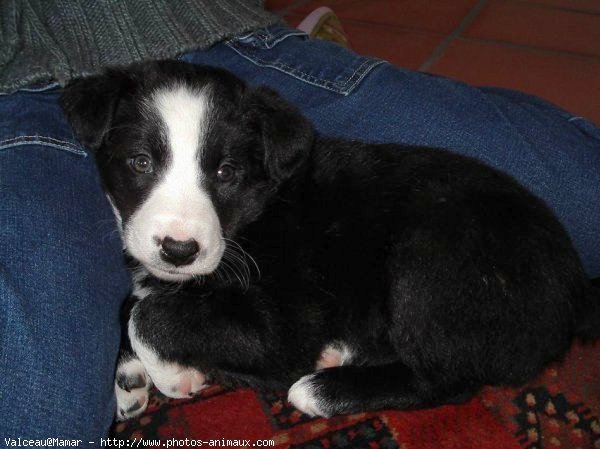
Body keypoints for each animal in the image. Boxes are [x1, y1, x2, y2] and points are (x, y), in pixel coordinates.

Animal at [59, 60, 596, 420]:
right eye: (141, 162)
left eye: (226, 172)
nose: (179, 249)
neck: (256, 215)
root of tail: (574, 298)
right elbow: (136, 301)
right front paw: (130, 377)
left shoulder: (288, 322)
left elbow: (151, 314)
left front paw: (174, 374)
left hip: (430, 261)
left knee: (447, 377)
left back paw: (323, 389)